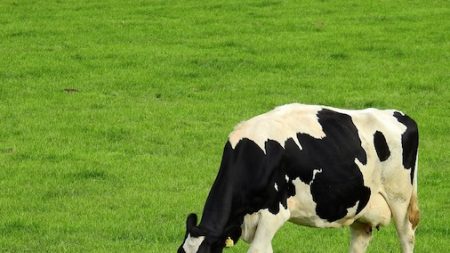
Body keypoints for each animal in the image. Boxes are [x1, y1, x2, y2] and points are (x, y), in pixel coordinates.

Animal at [178, 103, 420, 253]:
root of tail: (401, 115)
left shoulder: (274, 212)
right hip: (362, 206)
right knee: (360, 240)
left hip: (400, 198)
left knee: (406, 236)